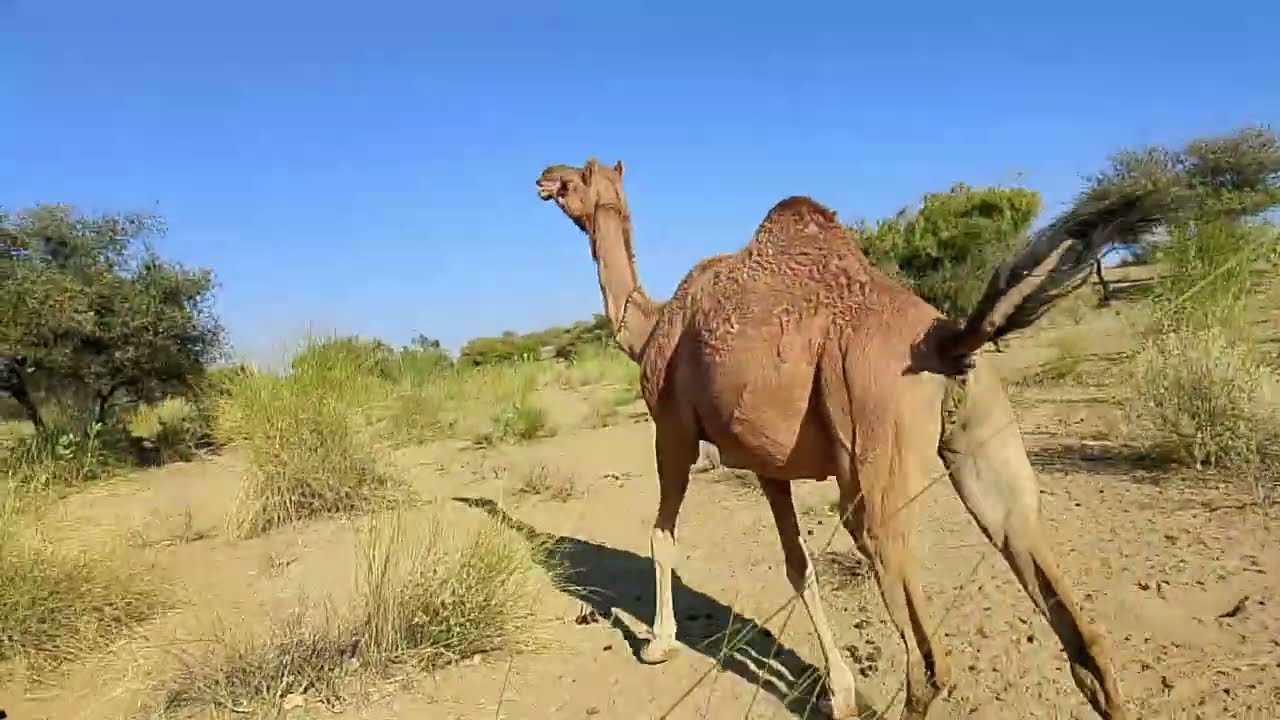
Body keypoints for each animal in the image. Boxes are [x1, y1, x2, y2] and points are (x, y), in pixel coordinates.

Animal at [534, 158, 1182, 720]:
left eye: (575, 179)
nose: (542, 178)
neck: (649, 330)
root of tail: (947, 342)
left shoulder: (672, 427)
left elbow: (662, 535)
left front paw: (657, 643)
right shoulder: (766, 462)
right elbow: (798, 567)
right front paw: (841, 692)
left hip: (872, 450)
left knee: (925, 653)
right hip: (984, 432)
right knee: (1070, 616)